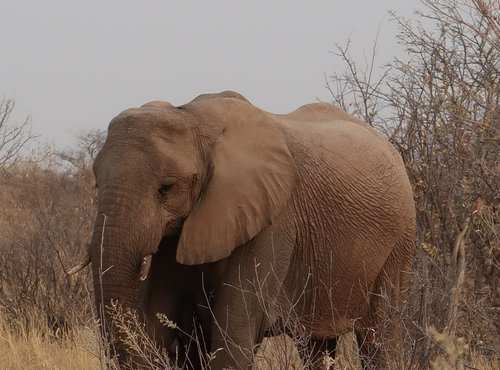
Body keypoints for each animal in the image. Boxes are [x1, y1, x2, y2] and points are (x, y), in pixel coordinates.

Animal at [69, 91, 414, 368]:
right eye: (96, 184)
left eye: (165, 188)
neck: (193, 117)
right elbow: (158, 315)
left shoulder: (274, 221)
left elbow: (235, 334)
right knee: (313, 344)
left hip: (400, 241)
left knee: (379, 336)